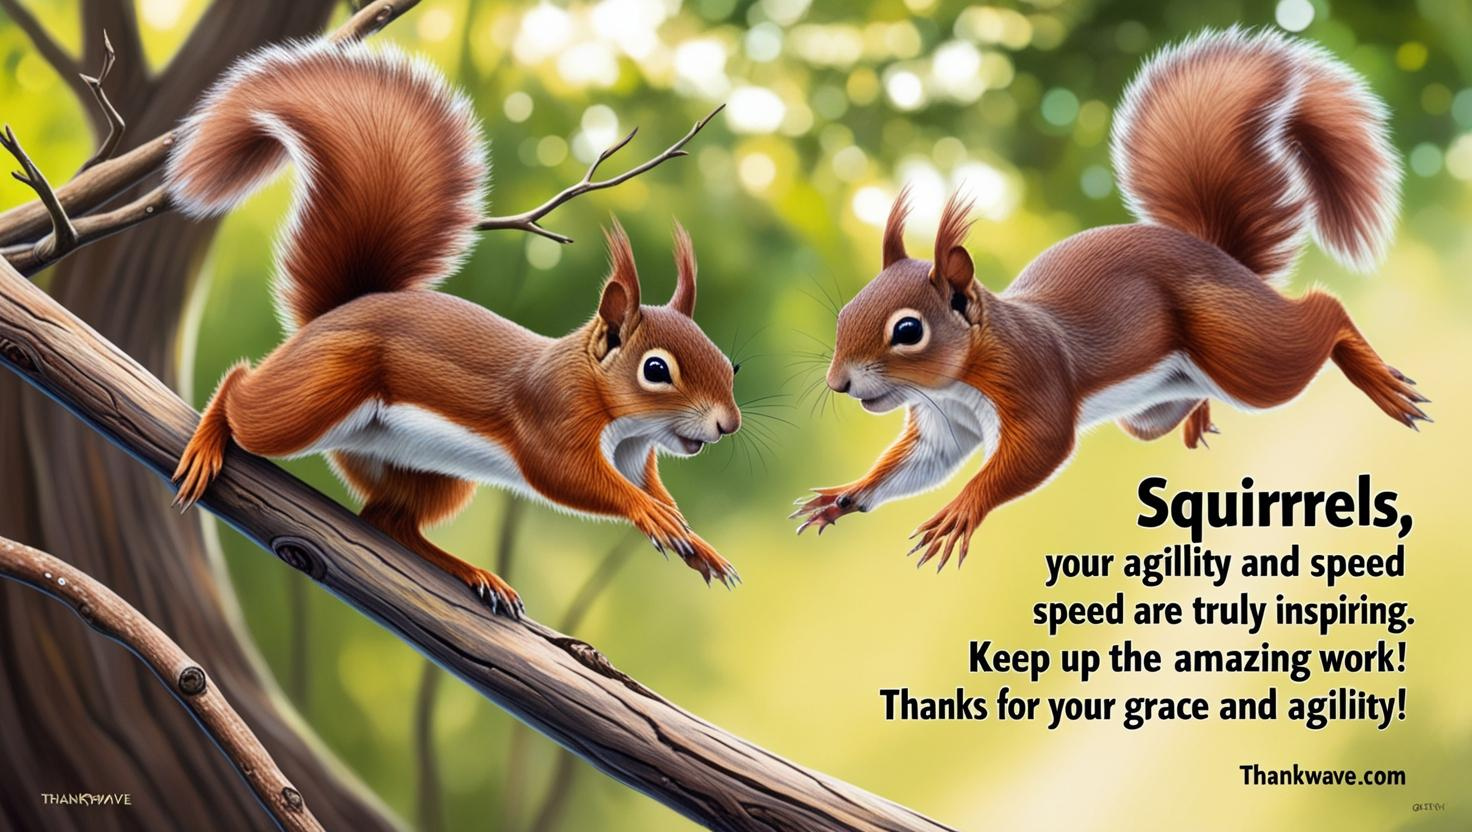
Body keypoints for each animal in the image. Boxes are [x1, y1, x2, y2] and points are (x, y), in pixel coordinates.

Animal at [164, 41, 741, 617]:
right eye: (656, 370)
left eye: (730, 365)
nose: (728, 425)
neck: (624, 422)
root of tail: (338, 313)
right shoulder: (552, 415)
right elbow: (567, 476)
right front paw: (650, 514)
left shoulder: (636, 459)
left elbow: (655, 490)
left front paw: (700, 545)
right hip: (314, 392)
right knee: (243, 395)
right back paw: (209, 439)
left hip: (427, 472)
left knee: (389, 520)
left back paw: (474, 574)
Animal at [793, 28, 1422, 569]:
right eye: (844, 314)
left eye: (908, 331)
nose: (837, 383)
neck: (956, 382)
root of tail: (1219, 258)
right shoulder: (941, 426)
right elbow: (911, 467)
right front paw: (844, 496)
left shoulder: (1032, 382)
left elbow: (1035, 452)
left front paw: (962, 510)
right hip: (1151, 411)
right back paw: (1200, 416)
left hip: (1244, 353)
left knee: (1325, 317)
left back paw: (1381, 383)